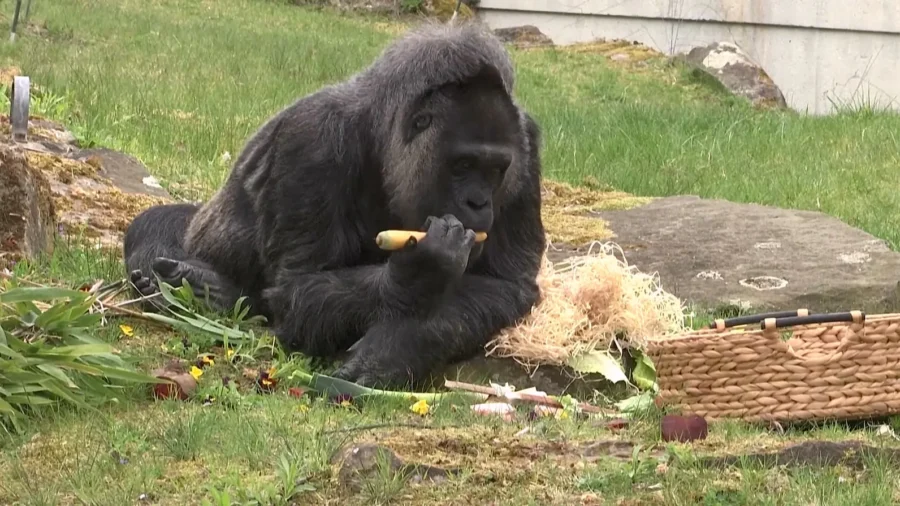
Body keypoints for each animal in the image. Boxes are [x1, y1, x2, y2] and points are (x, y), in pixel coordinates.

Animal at [123, 19, 546, 388]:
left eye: (496, 170)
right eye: (462, 166)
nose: (478, 203)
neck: (382, 135)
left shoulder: (527, 144)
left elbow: (506, 284)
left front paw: (398, 347)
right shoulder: (313, 140)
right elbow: (298, 286)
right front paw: (419, 271)